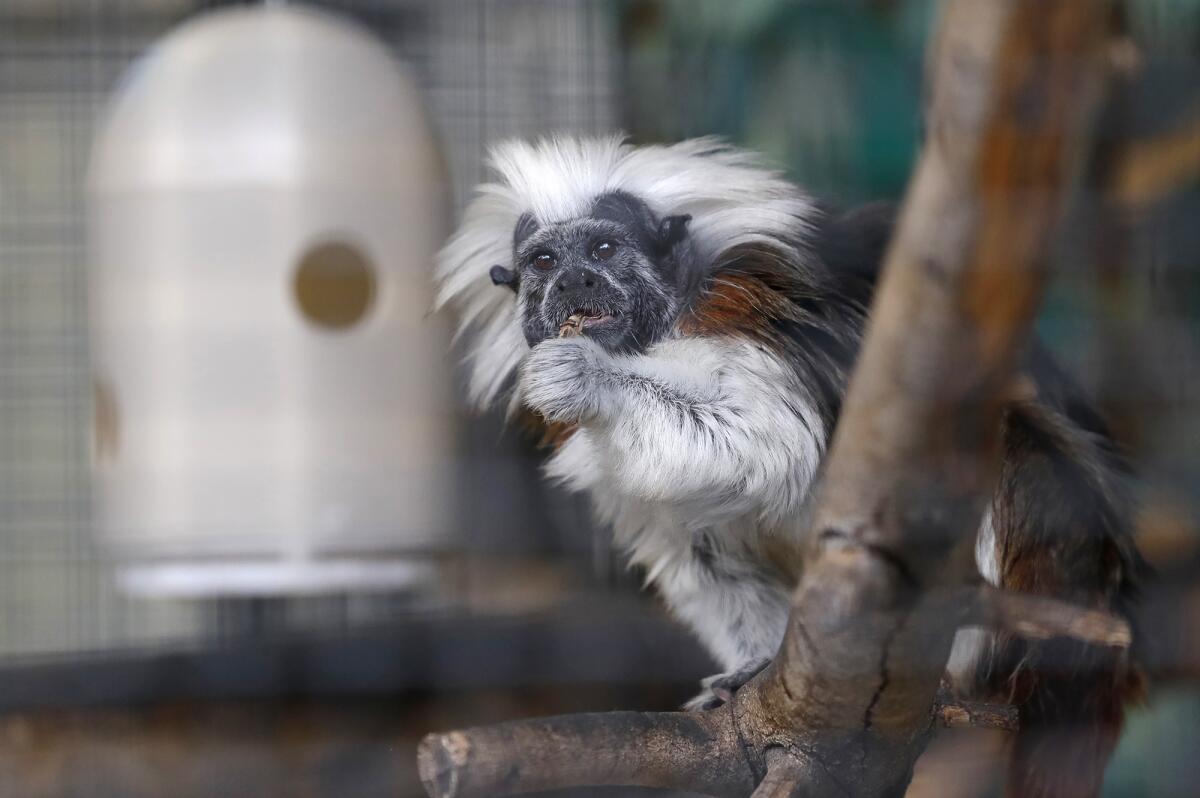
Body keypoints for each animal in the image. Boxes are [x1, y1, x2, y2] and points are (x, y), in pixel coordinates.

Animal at [439, 136, 1142, 796]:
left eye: (606, 251)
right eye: (545, 262)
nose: (575, 284)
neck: (663, 327)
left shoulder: (747, 313)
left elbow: (767, 441)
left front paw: (591, 379)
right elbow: (699, 554)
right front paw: (752, 666)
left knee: (1014, 446)